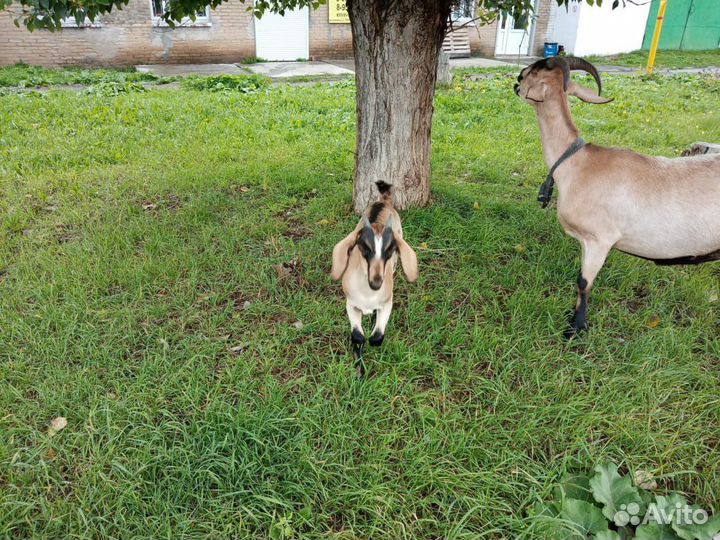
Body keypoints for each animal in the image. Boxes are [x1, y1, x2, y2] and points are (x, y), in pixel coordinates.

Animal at [331, 181, 418, 374]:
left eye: (391, 249)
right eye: (364, 247)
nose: (377, 282)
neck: (368, 295)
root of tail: (384, 201)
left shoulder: (387, 303)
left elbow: (377, 336)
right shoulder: (351, 304)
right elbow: (357, 336)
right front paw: (359, 366)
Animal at [514, 56, 720, 337]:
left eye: (534, 72)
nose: (517, 80)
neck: (577, 163)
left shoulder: (600, 238)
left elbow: (583, 282)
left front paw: (575, 329)